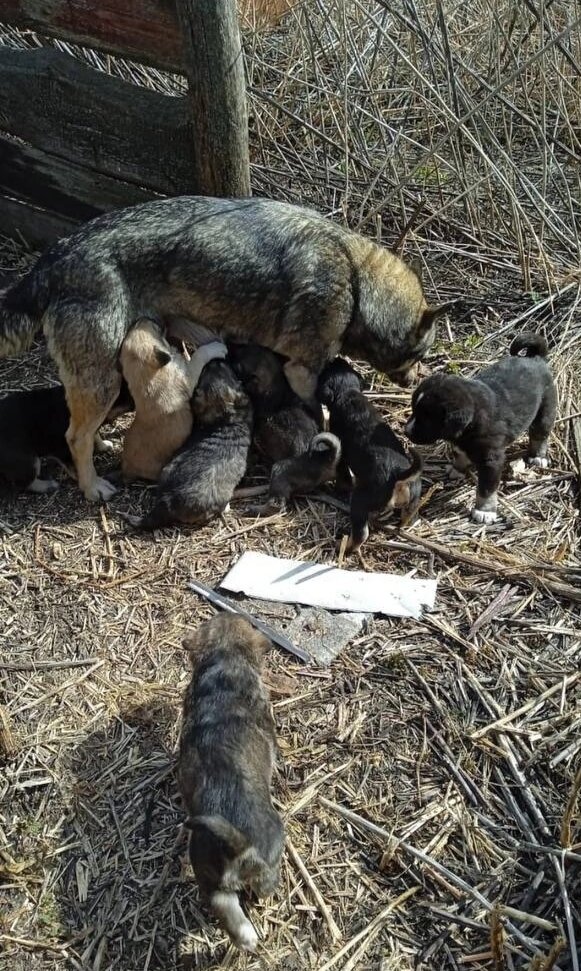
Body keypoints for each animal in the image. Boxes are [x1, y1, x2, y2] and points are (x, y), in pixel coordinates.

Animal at [0, 384, 132, 498]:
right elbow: (73, 462)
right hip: (29, 462)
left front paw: (104, 445)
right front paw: (82, 477)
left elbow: (95, 435)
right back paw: (47, 486)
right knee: (25, 483)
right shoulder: (63, 447)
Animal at [120, 318, 227, 482]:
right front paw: (217, 348)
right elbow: (200, 355)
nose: (143, 318)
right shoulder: (188, 375)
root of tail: (126, 468)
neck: (145, 374)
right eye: (155, 328)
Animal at [178, 620, 284, 952]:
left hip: (207, 874)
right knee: (262, 888)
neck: (224, 664)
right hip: (269, 862)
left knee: (225, 909)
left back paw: (247, 939)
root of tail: (237, 844)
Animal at [318, 358, 422, 556]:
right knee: (408, 515)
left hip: (360, 501)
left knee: (361, 533)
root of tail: (399, 475)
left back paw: (344, 546)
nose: (335, 358)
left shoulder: (342, 455)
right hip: (414, 496)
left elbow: (344, 477)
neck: (347, 392)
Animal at [404, 334, 556, 524]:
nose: (406, 431)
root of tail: (536, 358)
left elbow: (486, 489)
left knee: (540, 434)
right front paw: (457, 469)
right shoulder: (461, 443)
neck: (473, 421)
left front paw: (484, 511)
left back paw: (538, 457)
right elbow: (459, 453)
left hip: (545, 408)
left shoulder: (491, 459)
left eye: (427, 418)